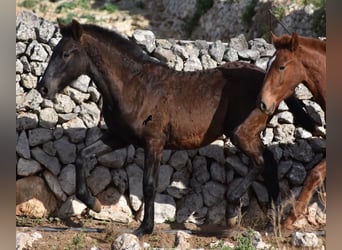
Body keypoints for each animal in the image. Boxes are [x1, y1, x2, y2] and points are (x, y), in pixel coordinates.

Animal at [37, 20, 318, 236]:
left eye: (66, 53)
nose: (43, 88)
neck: (134, 85)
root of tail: (266, 81)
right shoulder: (118, 136)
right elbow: (82, 155)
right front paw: (93, 204)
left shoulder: (153, 142)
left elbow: (149, 185)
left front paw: (144, 229)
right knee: (269, 163)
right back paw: (273, 220)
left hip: (242, 134)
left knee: (262, 162)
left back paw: (232, 213)